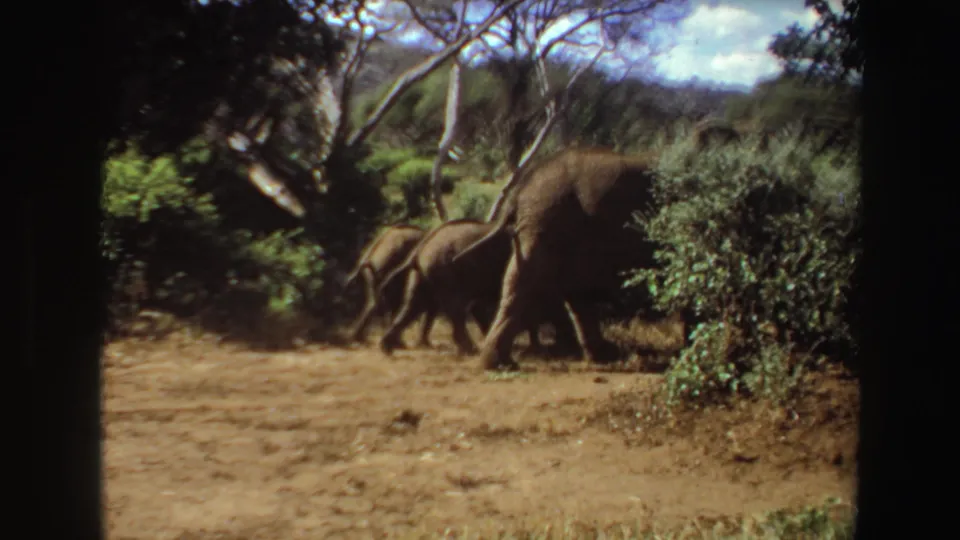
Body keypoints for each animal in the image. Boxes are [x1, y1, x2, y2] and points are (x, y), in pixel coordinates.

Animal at [377, 218, 579, 357]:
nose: (572, 348)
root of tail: (419, 251)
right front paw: (536, 348)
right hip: (445, 270)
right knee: (454, 308)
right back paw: (470, 350)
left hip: (425, 273)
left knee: (412, 304)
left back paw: (387, 348)